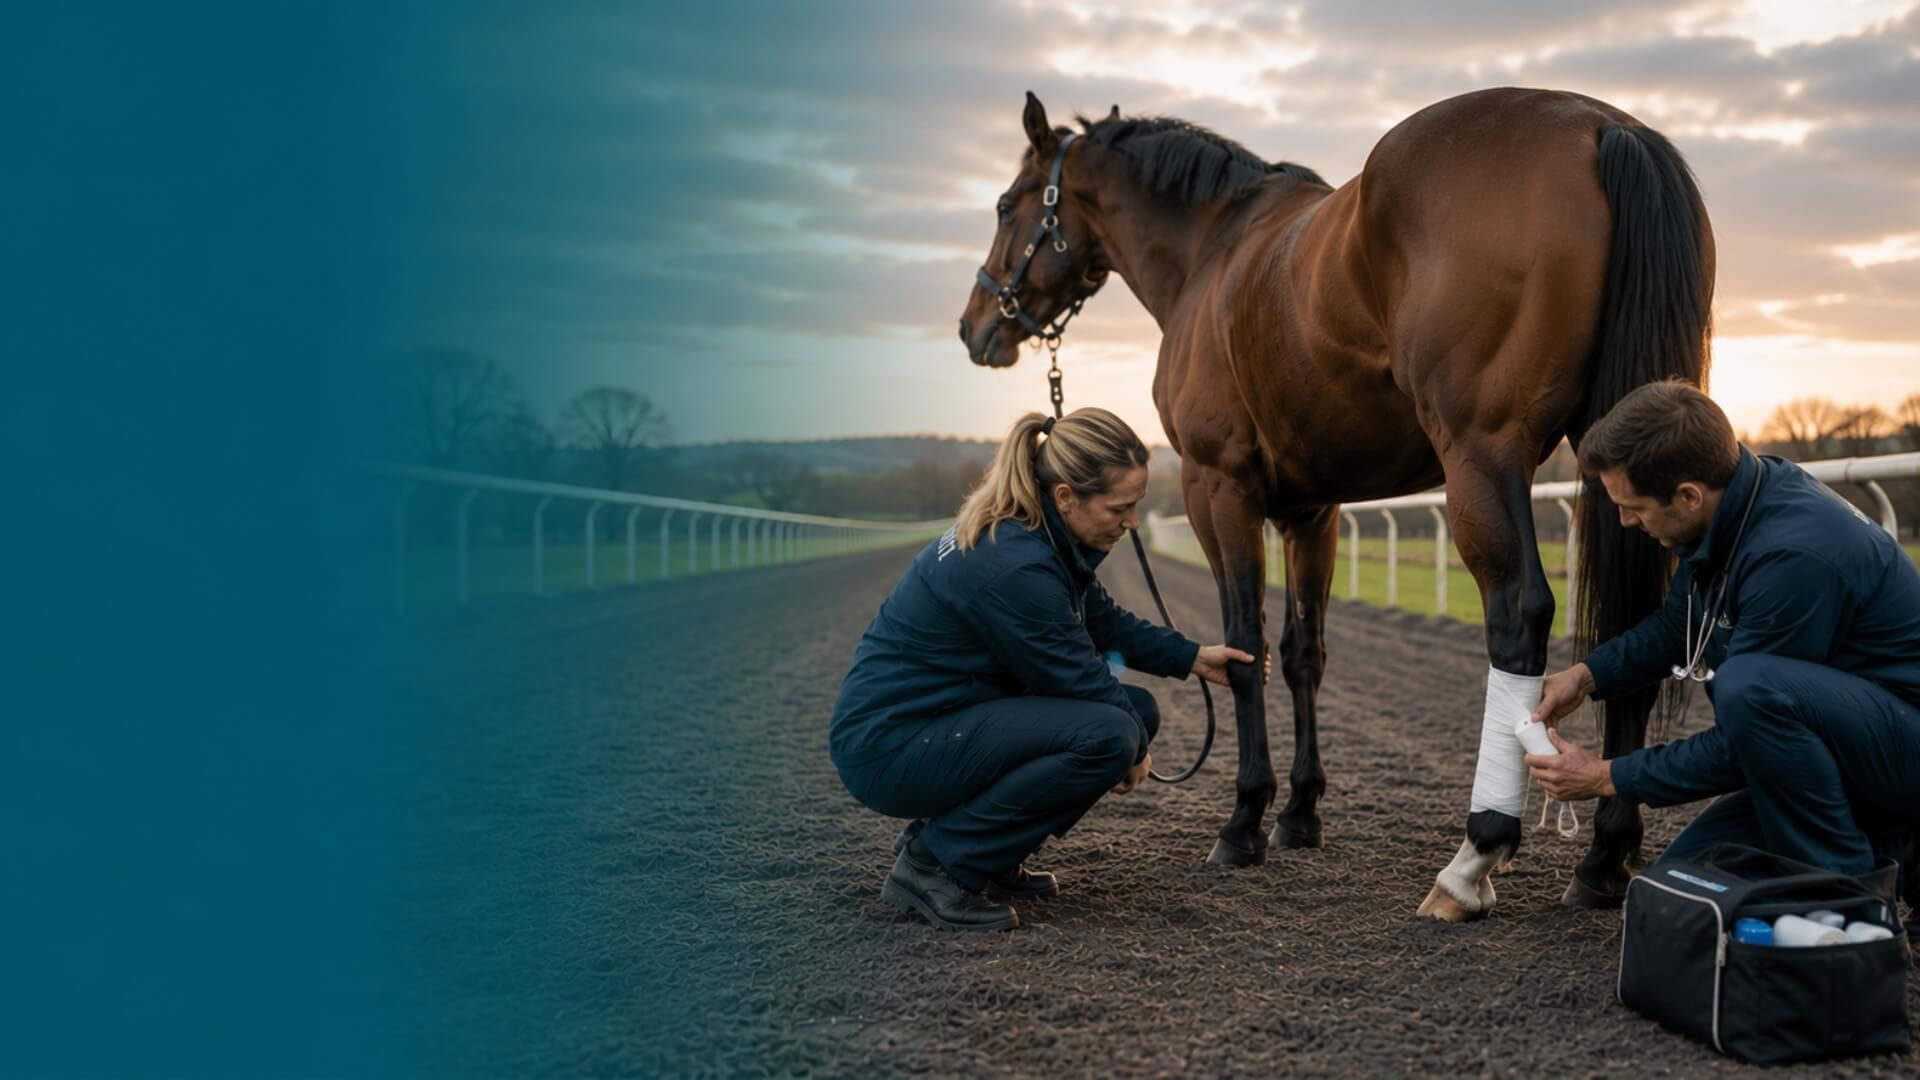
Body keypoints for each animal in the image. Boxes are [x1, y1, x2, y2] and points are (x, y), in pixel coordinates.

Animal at [958, 87, 1713, 920]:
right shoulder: (1311, 511)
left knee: (1518, 614)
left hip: (1480, 455)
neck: (1213, 249)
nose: (975, 326)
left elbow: (1242, 647)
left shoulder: (1217, 487)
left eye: (1006, 205)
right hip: (1624, 448)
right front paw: (1299, 814)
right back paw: (1605, 857)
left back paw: (1474, 857)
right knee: (1637, 618)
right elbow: (1302, 654)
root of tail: (1600, 125)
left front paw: (1244, 821)